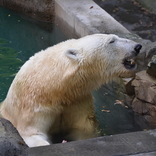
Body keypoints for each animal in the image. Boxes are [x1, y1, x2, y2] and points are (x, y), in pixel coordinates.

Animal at [0, 33, 142, 147]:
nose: (138, 46)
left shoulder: (77, 101)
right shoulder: (32, 108)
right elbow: (30, 134)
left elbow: (84, 129)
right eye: (112, 40)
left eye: (115, 37)